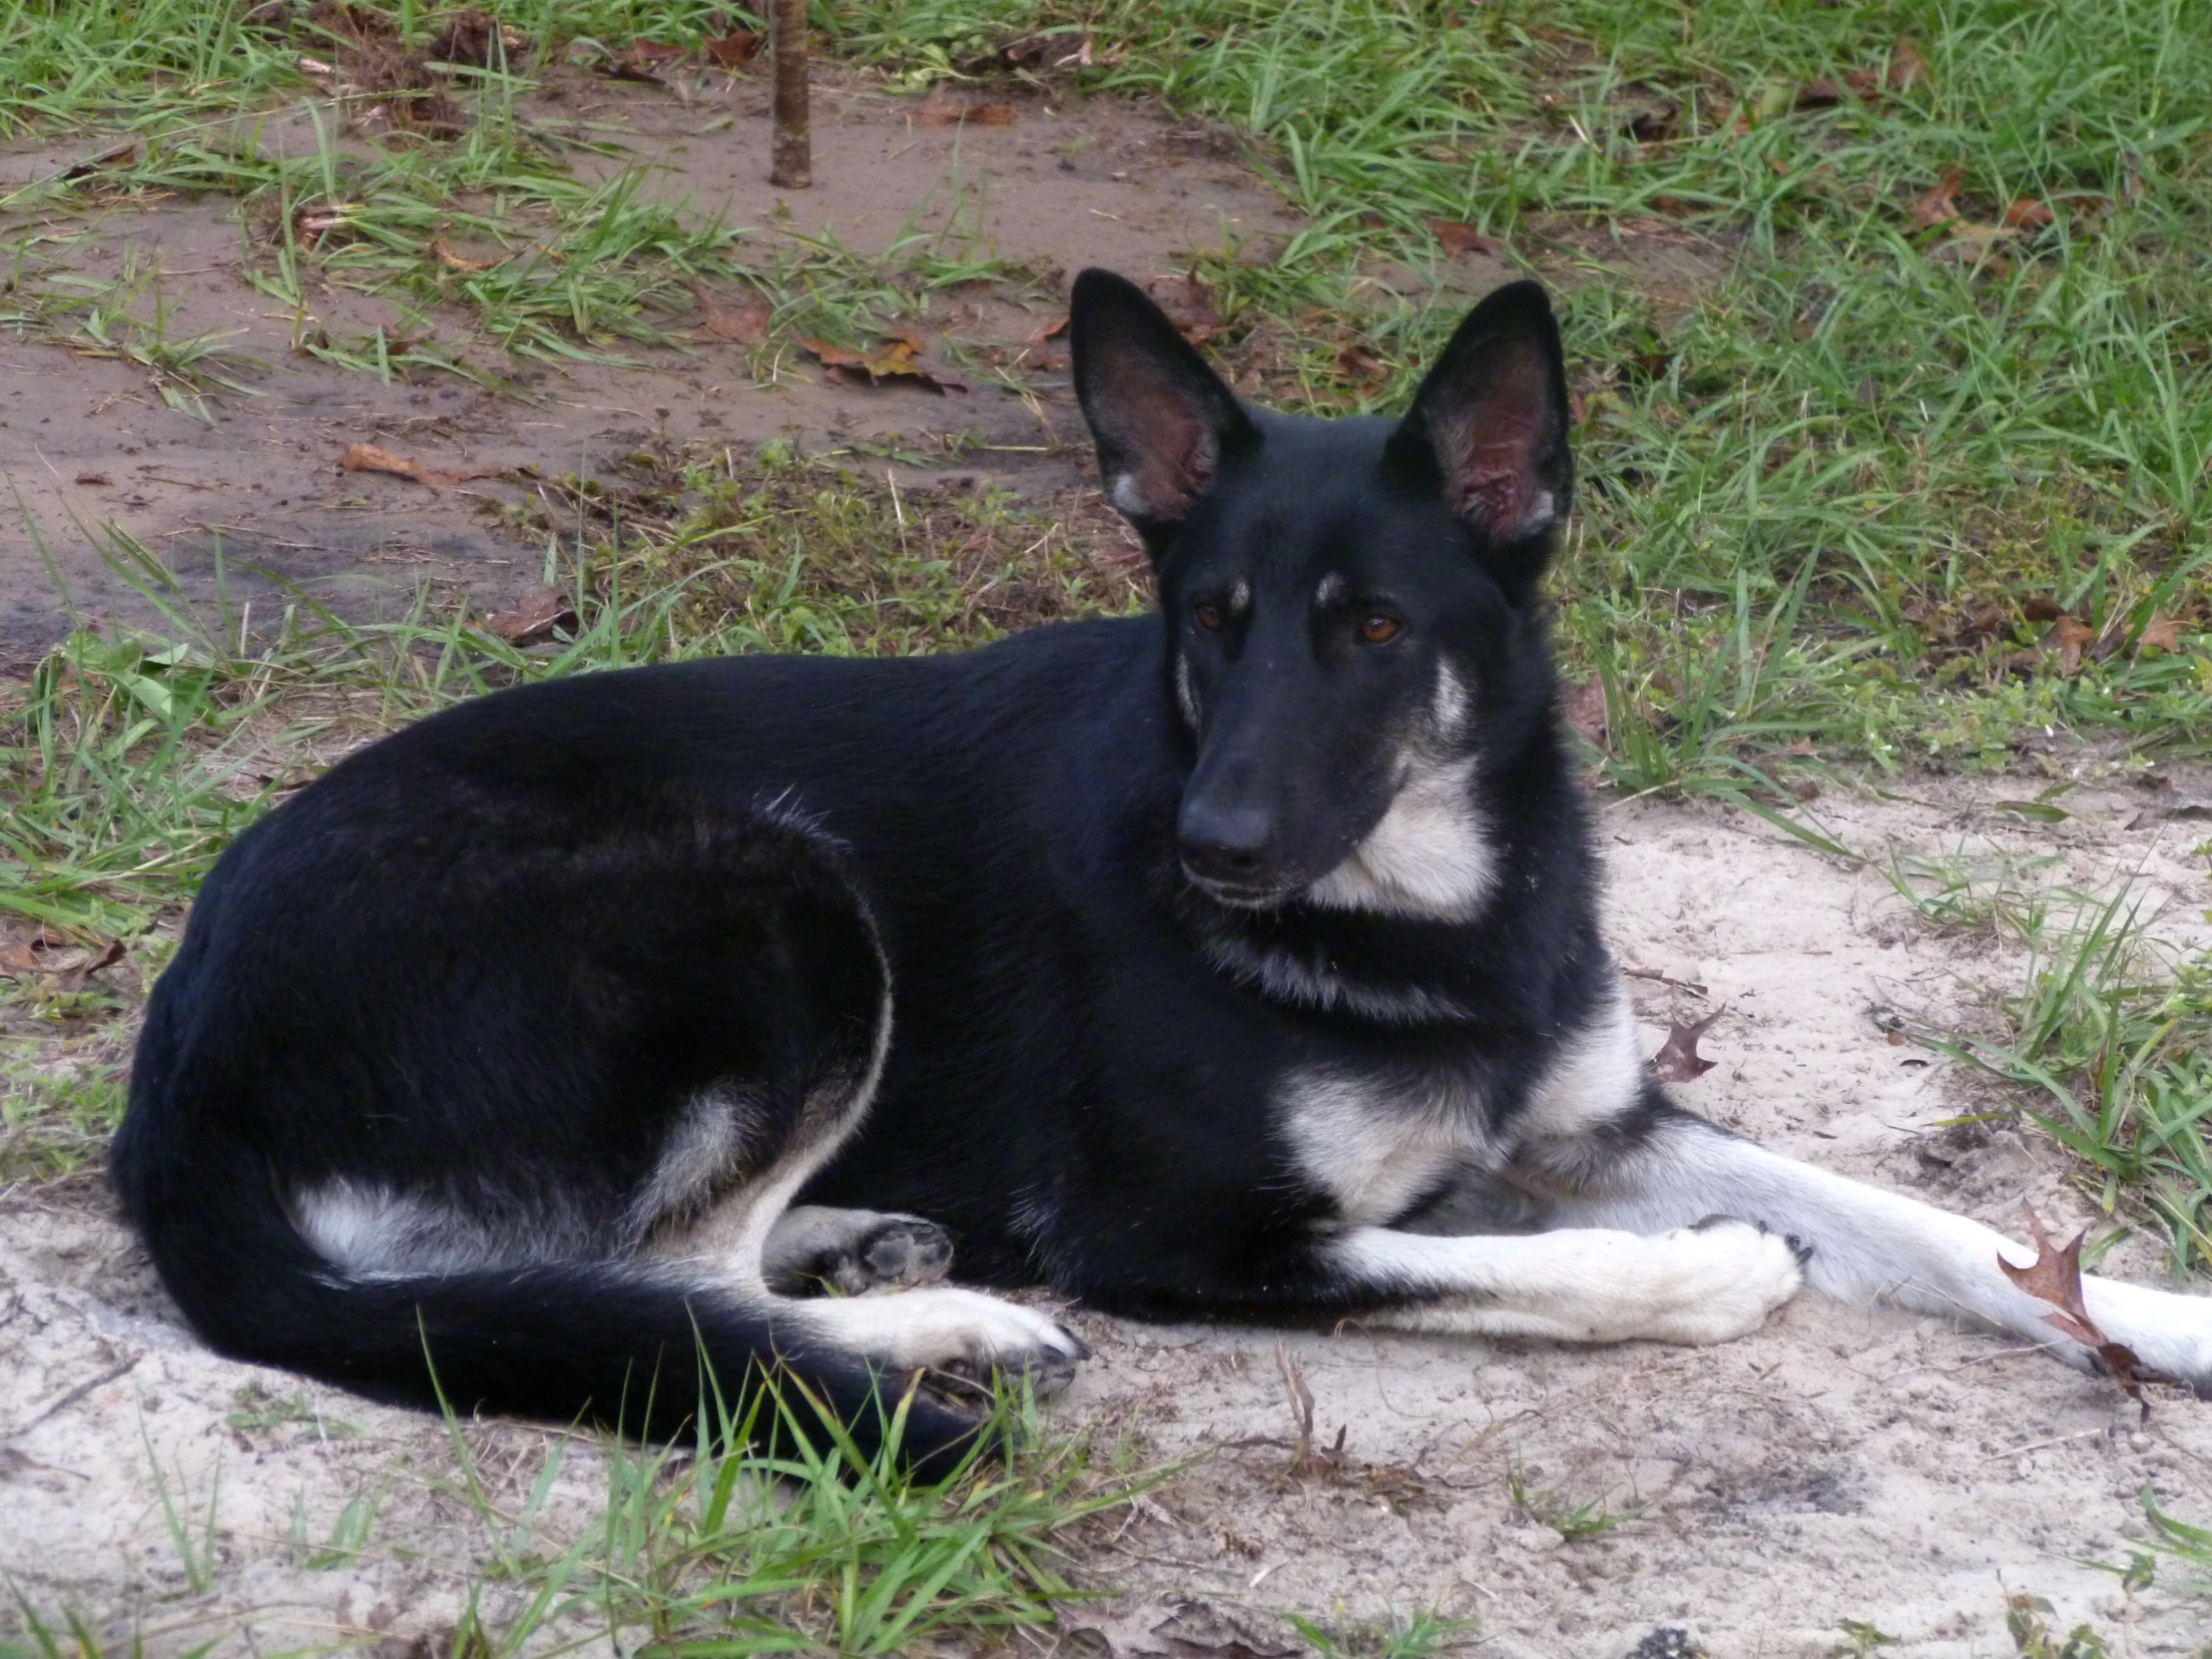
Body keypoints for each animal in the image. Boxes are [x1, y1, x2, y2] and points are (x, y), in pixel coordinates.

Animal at [116, 270, 2212, 1468]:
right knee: (659, 1275)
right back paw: (942, 1322)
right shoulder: (1186, 1236)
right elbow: (1507, 1267)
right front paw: (1700, 1273)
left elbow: (1925, 1223)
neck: (1427, 905)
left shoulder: (1599, 1117)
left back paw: (871, 1239)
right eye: (1213, 622)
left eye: (1374, 631)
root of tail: (179, 1062)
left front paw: (2161, 1319)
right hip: (776, 901)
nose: (1213, 850)